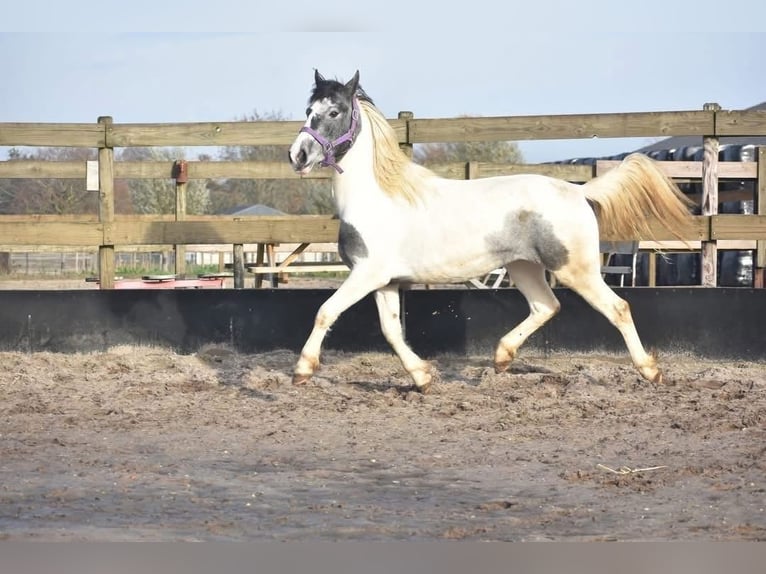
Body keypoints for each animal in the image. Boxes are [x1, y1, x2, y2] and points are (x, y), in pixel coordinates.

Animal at [288, 70, 693, 393]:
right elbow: (391, 330)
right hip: (523, 267)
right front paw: (422, 377)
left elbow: (325, 311)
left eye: (334, 112)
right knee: (547, 305)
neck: (376, 196)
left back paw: (651, 371)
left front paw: (302, 370)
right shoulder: (385, 281)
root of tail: (578, 191)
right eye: (308, 111)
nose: (298, 156)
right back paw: (501, 358)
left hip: (576, 270)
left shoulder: (366, 274)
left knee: (618, 308)